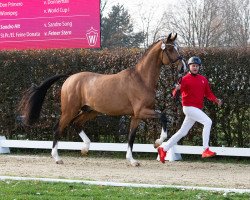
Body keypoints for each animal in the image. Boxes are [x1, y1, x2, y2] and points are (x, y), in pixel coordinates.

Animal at [19, 33, 186, 167]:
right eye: (171, 49)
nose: (183, 68)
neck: (141, 79)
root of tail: (70, 78)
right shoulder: (142, 111)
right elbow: (163, 117)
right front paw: (157, 142)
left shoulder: (136, 116)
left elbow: (131, 137)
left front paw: (132, 161)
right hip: (70, 110)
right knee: (58, 128)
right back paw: (57, 158)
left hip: (91, 111)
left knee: (76, 123)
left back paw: (85, 148)